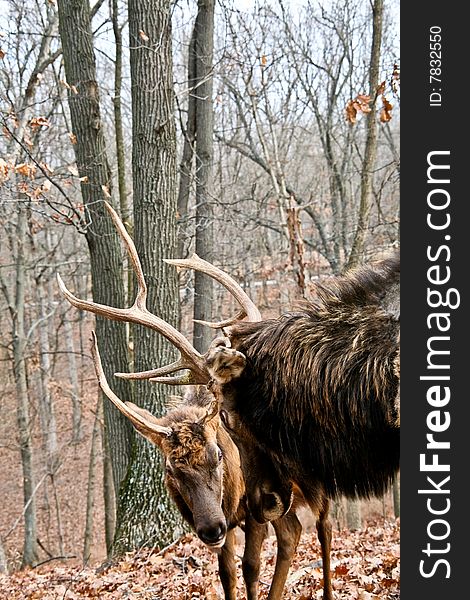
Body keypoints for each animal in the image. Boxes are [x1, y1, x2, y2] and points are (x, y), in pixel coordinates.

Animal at [57, 202, 332, 600]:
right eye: (172, 469)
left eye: (218, 455)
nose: (211, 528)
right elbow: (227, 573)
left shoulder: (254, 506)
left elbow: (251, 568)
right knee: (293, 532)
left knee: (324, 527)